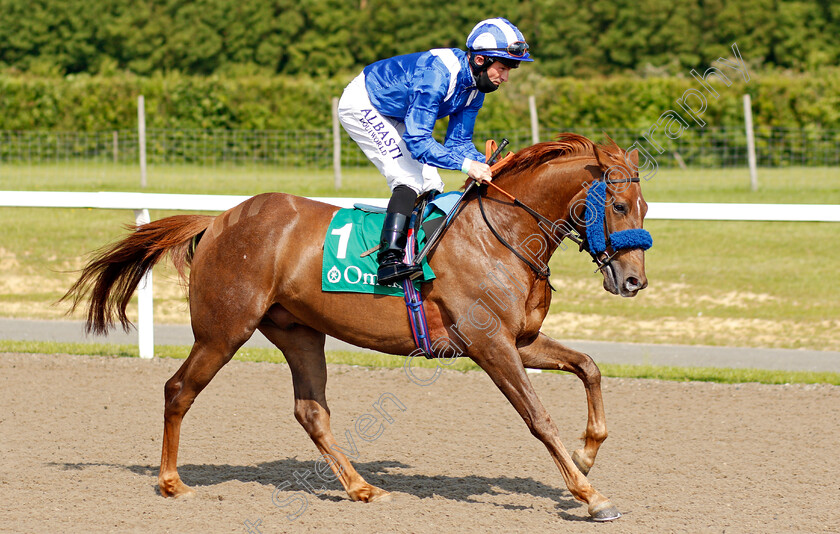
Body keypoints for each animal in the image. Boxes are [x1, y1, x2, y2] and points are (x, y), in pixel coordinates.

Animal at [64, 134, 648, 524]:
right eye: (618, 205)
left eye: (645, 206)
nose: (634, 280)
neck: (502, 235)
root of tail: (218, 220)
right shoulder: (490, 344)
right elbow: (539, 417)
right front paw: (591, 495)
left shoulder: (519, 340)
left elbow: (589, 367)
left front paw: (587, 453)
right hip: (223, 330)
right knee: (178, 389)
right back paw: (171, 483)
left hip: (298, 332)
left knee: (311, 411)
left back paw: (363, 488)